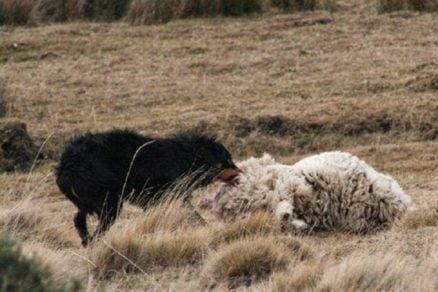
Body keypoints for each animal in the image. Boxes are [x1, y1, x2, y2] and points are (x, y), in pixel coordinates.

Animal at [55, 129, 240, 245]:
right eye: (228, 161)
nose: (241, 172)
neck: (188, 156)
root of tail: (66, 165)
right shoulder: (172, 192)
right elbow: (192, 212)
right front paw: (205, 226)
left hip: (89, 199)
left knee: (79, 218)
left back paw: (86, 240)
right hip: (109, 201)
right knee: (101, 224)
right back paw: (96, 242)